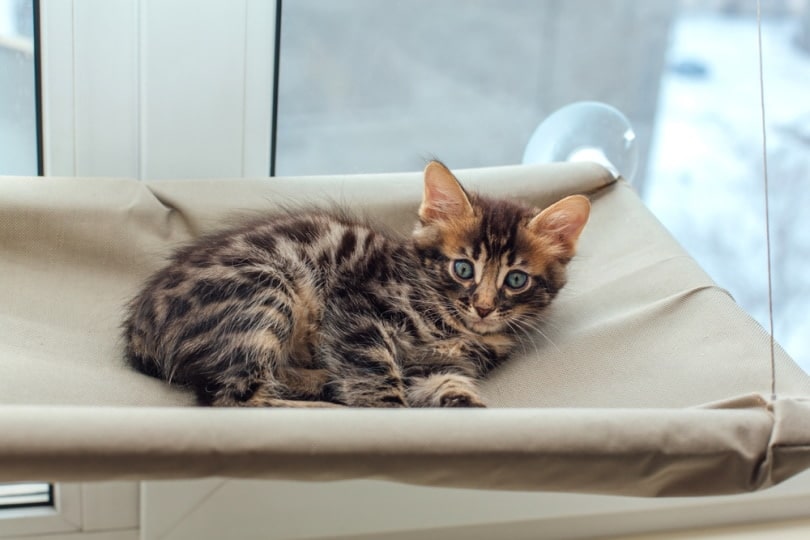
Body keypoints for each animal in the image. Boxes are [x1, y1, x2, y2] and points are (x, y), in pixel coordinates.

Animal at [123, 162, 588, 408]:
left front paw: (465, 405)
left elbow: (447, 385)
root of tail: (138, 330)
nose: (485, 306)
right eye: (463, 269)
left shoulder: (436, 365)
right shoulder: (358, 312)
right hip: (265, 289)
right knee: (238, 396)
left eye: (516, 279)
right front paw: (387, 408)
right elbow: (378, 376)